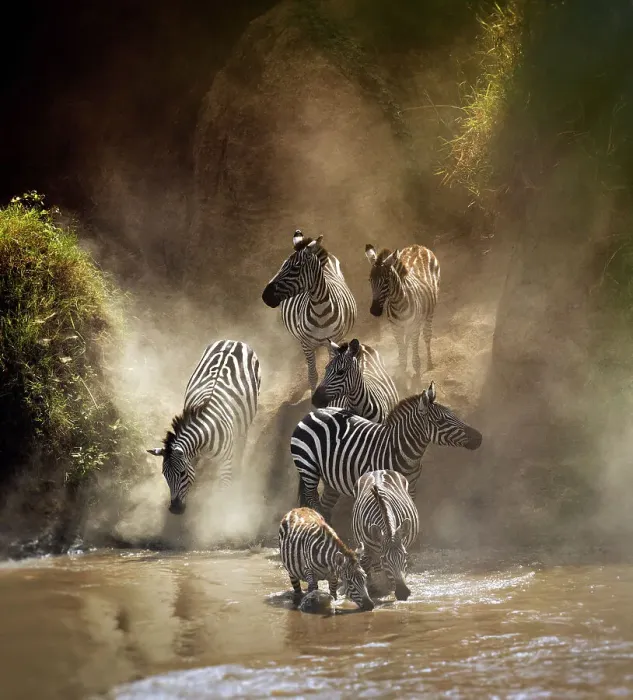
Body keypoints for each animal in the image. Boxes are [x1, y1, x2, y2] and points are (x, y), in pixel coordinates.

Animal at [146, 339, 261, 514]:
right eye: (165, 475)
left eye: (182, 473)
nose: (174, 510)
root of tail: (234, 341)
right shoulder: (191, 456)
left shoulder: (226, 462)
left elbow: (222, 491)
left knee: (242, 439)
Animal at [262, 230, 357, 392]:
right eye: (282, 266)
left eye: (295, 268)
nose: (265, 297)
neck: (320, 312)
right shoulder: (306, 344)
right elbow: (312, 375)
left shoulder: (333, 342)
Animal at [291, 381, 481, 522]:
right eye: (441, 421)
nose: (479, 438)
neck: (405, 454)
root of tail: (313, 413)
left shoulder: (411, 487)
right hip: (308, 467)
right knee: (312, 498)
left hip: (331, 475)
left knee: (325, 503)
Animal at [352, 470, 419, 601]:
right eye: (384, 559)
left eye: (405, 556)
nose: (403, 593)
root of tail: (377, 470)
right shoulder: (366, 547)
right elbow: (367, 566)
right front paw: (372, 588)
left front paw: (389, 587)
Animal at [365, 243, 440, 379]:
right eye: (370, 280)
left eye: (386, 281)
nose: (374, 311)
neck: (398, 305)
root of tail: (418, 246)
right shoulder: (395, 328)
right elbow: (402, 349)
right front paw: (402, 369)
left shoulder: (415, 326)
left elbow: (414, 351)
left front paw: (416, 371)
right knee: (407, 340)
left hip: (430, 311)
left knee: (427, 335)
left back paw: (429, 363)